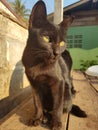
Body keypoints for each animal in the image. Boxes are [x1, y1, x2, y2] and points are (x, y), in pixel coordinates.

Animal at [22, 0, 86, 129]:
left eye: (61, 43)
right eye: (46, 38)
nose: (56, 53)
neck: (38, 63)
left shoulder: (58, 83)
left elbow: (57, 105)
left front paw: (56, 123)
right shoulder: (34, 85)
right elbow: (37, 103)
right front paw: (37, 117)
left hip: (67, 92)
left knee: (63, 109)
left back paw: (50, 118)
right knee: (46, 108)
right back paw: (44, 117)